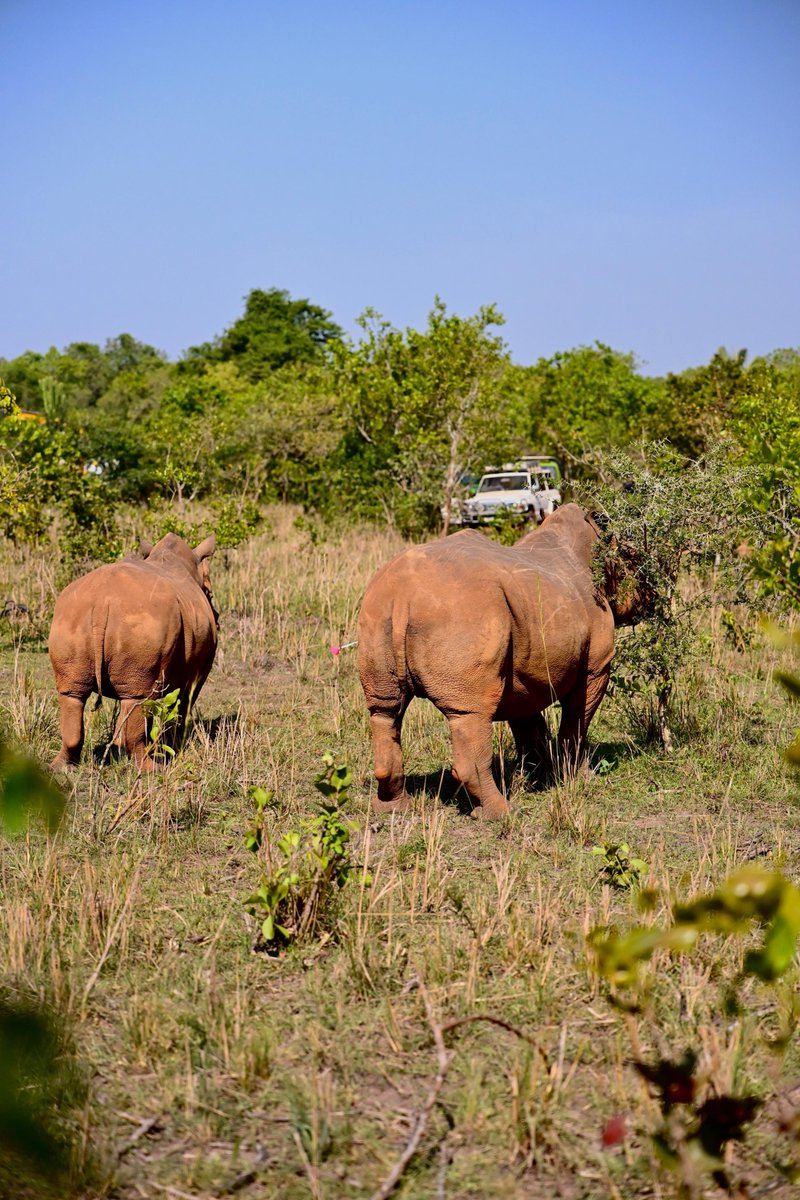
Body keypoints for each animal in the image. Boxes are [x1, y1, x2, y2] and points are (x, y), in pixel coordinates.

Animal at [48, 532, 218, 770]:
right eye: (209, 593)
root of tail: (102, 601)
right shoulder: (197, 672)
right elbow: (182, 706)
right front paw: (176, 743)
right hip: (145, 623)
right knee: (138, 698)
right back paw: (152, 769)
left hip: (70, 618)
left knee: (74, 695)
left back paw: (62, 767)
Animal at [357, 504, 651, 819]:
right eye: (635, 562)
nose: (652, 597)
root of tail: (402, 594)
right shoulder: (597, 667)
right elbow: (577, 721)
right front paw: (580, 776)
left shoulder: (522, 667)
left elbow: (528, 722)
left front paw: (538, 773)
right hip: (467, 611)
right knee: (469, 713)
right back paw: (503, 812)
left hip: (378, 611)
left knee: (385, 710)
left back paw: (394, 809)